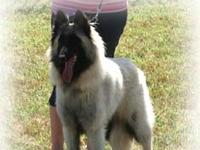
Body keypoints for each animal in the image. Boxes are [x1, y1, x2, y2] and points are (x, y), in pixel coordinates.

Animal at [48, 9, 155, 149]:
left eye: (74, 40)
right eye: (61, 40)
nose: (61, 57)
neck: (77, 86)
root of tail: (132, 65)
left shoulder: (94, 131)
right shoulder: (69, 129)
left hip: (139, 125)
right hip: (117, 132)